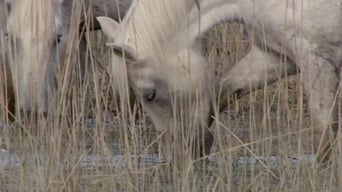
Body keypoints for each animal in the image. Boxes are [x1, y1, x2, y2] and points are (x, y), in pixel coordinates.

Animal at [97, 0, 340, 162]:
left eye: (150, 95)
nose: (183, 151)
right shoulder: (276, 56)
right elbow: (224, 90)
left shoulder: (314, 59)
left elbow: (323, 136)